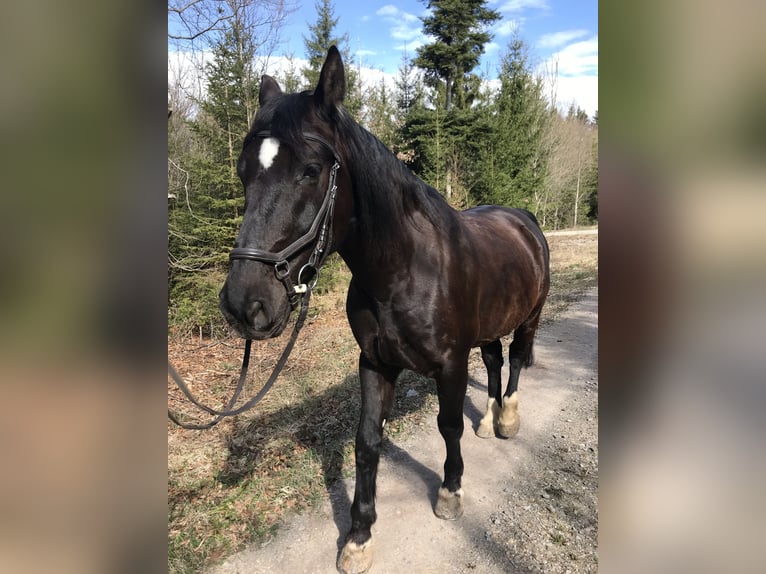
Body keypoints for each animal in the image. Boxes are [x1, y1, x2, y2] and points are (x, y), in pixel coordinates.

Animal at [222, 47, 552, 572]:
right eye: (243, 171)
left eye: (310, 170)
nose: (243, 303)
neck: (404, 270)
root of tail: (524, 220)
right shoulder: (375, 363)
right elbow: (366, 442)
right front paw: (358, 536)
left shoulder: (450, 363)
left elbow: (448, 425)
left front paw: (450, 492)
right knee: (495, 360)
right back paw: (489, 419)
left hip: (530, 316)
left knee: (517, 360)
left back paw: (507, 420)